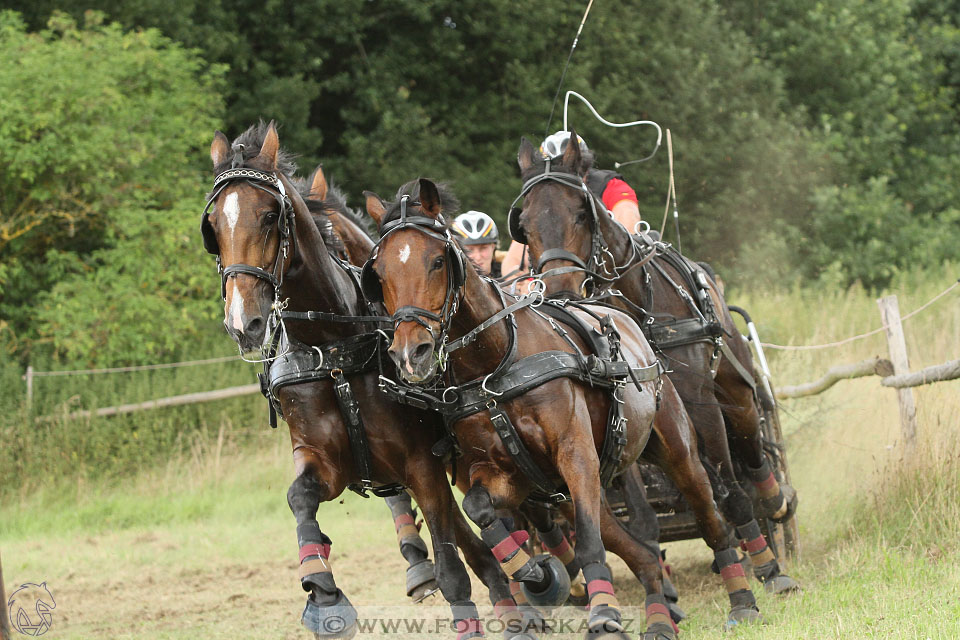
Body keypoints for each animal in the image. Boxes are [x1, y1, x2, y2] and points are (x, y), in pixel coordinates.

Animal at [202, 121, 532, 640]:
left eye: (271, 215)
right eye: (213, 226)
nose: (243, 322)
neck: (334, 348)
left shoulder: (421, 464)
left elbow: (453, 569)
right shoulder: (323, 459)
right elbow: (299, 498)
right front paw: (323, 590)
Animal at [360, 178, 764, 636]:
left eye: (436, 261)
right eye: (378, 274)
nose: (411, 353)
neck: (497, 365)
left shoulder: (575, 453)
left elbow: (588, 543)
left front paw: (603, 614)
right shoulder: (506, 476)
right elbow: (479, 508)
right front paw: (536, 574)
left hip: (677, 450)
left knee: (713, 515)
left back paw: (744, 598)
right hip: (574, 490)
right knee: (638, 550)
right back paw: (660, 617)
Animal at [512, 138, 800, 592]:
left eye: (581, 212)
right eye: (523, 224)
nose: (559, 289)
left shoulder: (700, 403)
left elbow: (732, 489)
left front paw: (769, 568)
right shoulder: (619, 412)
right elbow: (638, 503)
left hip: (735, 389)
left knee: (751, 448)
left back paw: (774, 502)